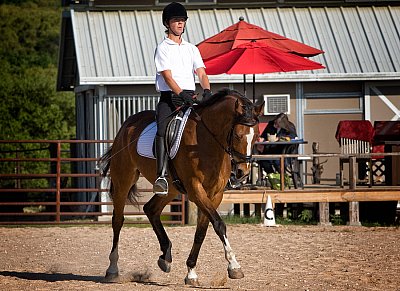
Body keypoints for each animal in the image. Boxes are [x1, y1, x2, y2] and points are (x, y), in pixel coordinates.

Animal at [98, 88, 264, 286]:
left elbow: (201, 231)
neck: (205, 141)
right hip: (123, 180)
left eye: (256, 137)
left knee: (151, 209)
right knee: (118, 220)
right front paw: (234, 266)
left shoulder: (215, 194)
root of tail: (126, 125)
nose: (242, 172)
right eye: (238, 135)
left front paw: (191, 273)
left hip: (171, 189)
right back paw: (112, 269)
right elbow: (219, 224)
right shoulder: (195, 189)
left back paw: (166, 256)